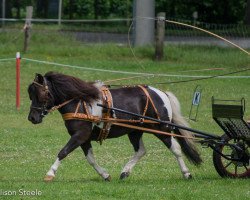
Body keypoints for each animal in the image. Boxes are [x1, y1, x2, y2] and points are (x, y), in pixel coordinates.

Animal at [27, 72, 201, 181]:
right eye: (30, 95)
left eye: (41, 94)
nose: (32, 118)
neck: (79, 103)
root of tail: (161, 93)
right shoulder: (84, 138)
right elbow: (90, 159)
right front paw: (105, 175)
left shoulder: (80, 135)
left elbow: (63, 152)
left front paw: (50, 173)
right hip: (135, 131)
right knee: (141, 150)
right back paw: (125, 172)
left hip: (161, 129)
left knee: (176, 149)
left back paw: (186, 173)